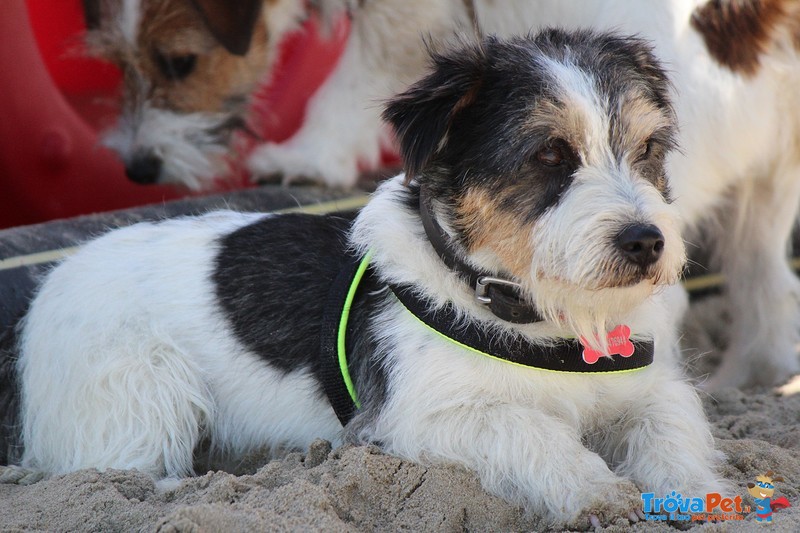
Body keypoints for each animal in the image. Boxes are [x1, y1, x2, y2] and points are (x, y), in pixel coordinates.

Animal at [3, 31, 724, 524]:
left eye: (648, 149)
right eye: (549, 154)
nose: (646, 242)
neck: (534, 311)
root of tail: (46, 289)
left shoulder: (649, 385)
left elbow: (676, 425)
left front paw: (697, 492)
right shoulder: (419, 418)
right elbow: (530, 430)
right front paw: (594, 488)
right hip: (144, 391)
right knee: (118, 471)